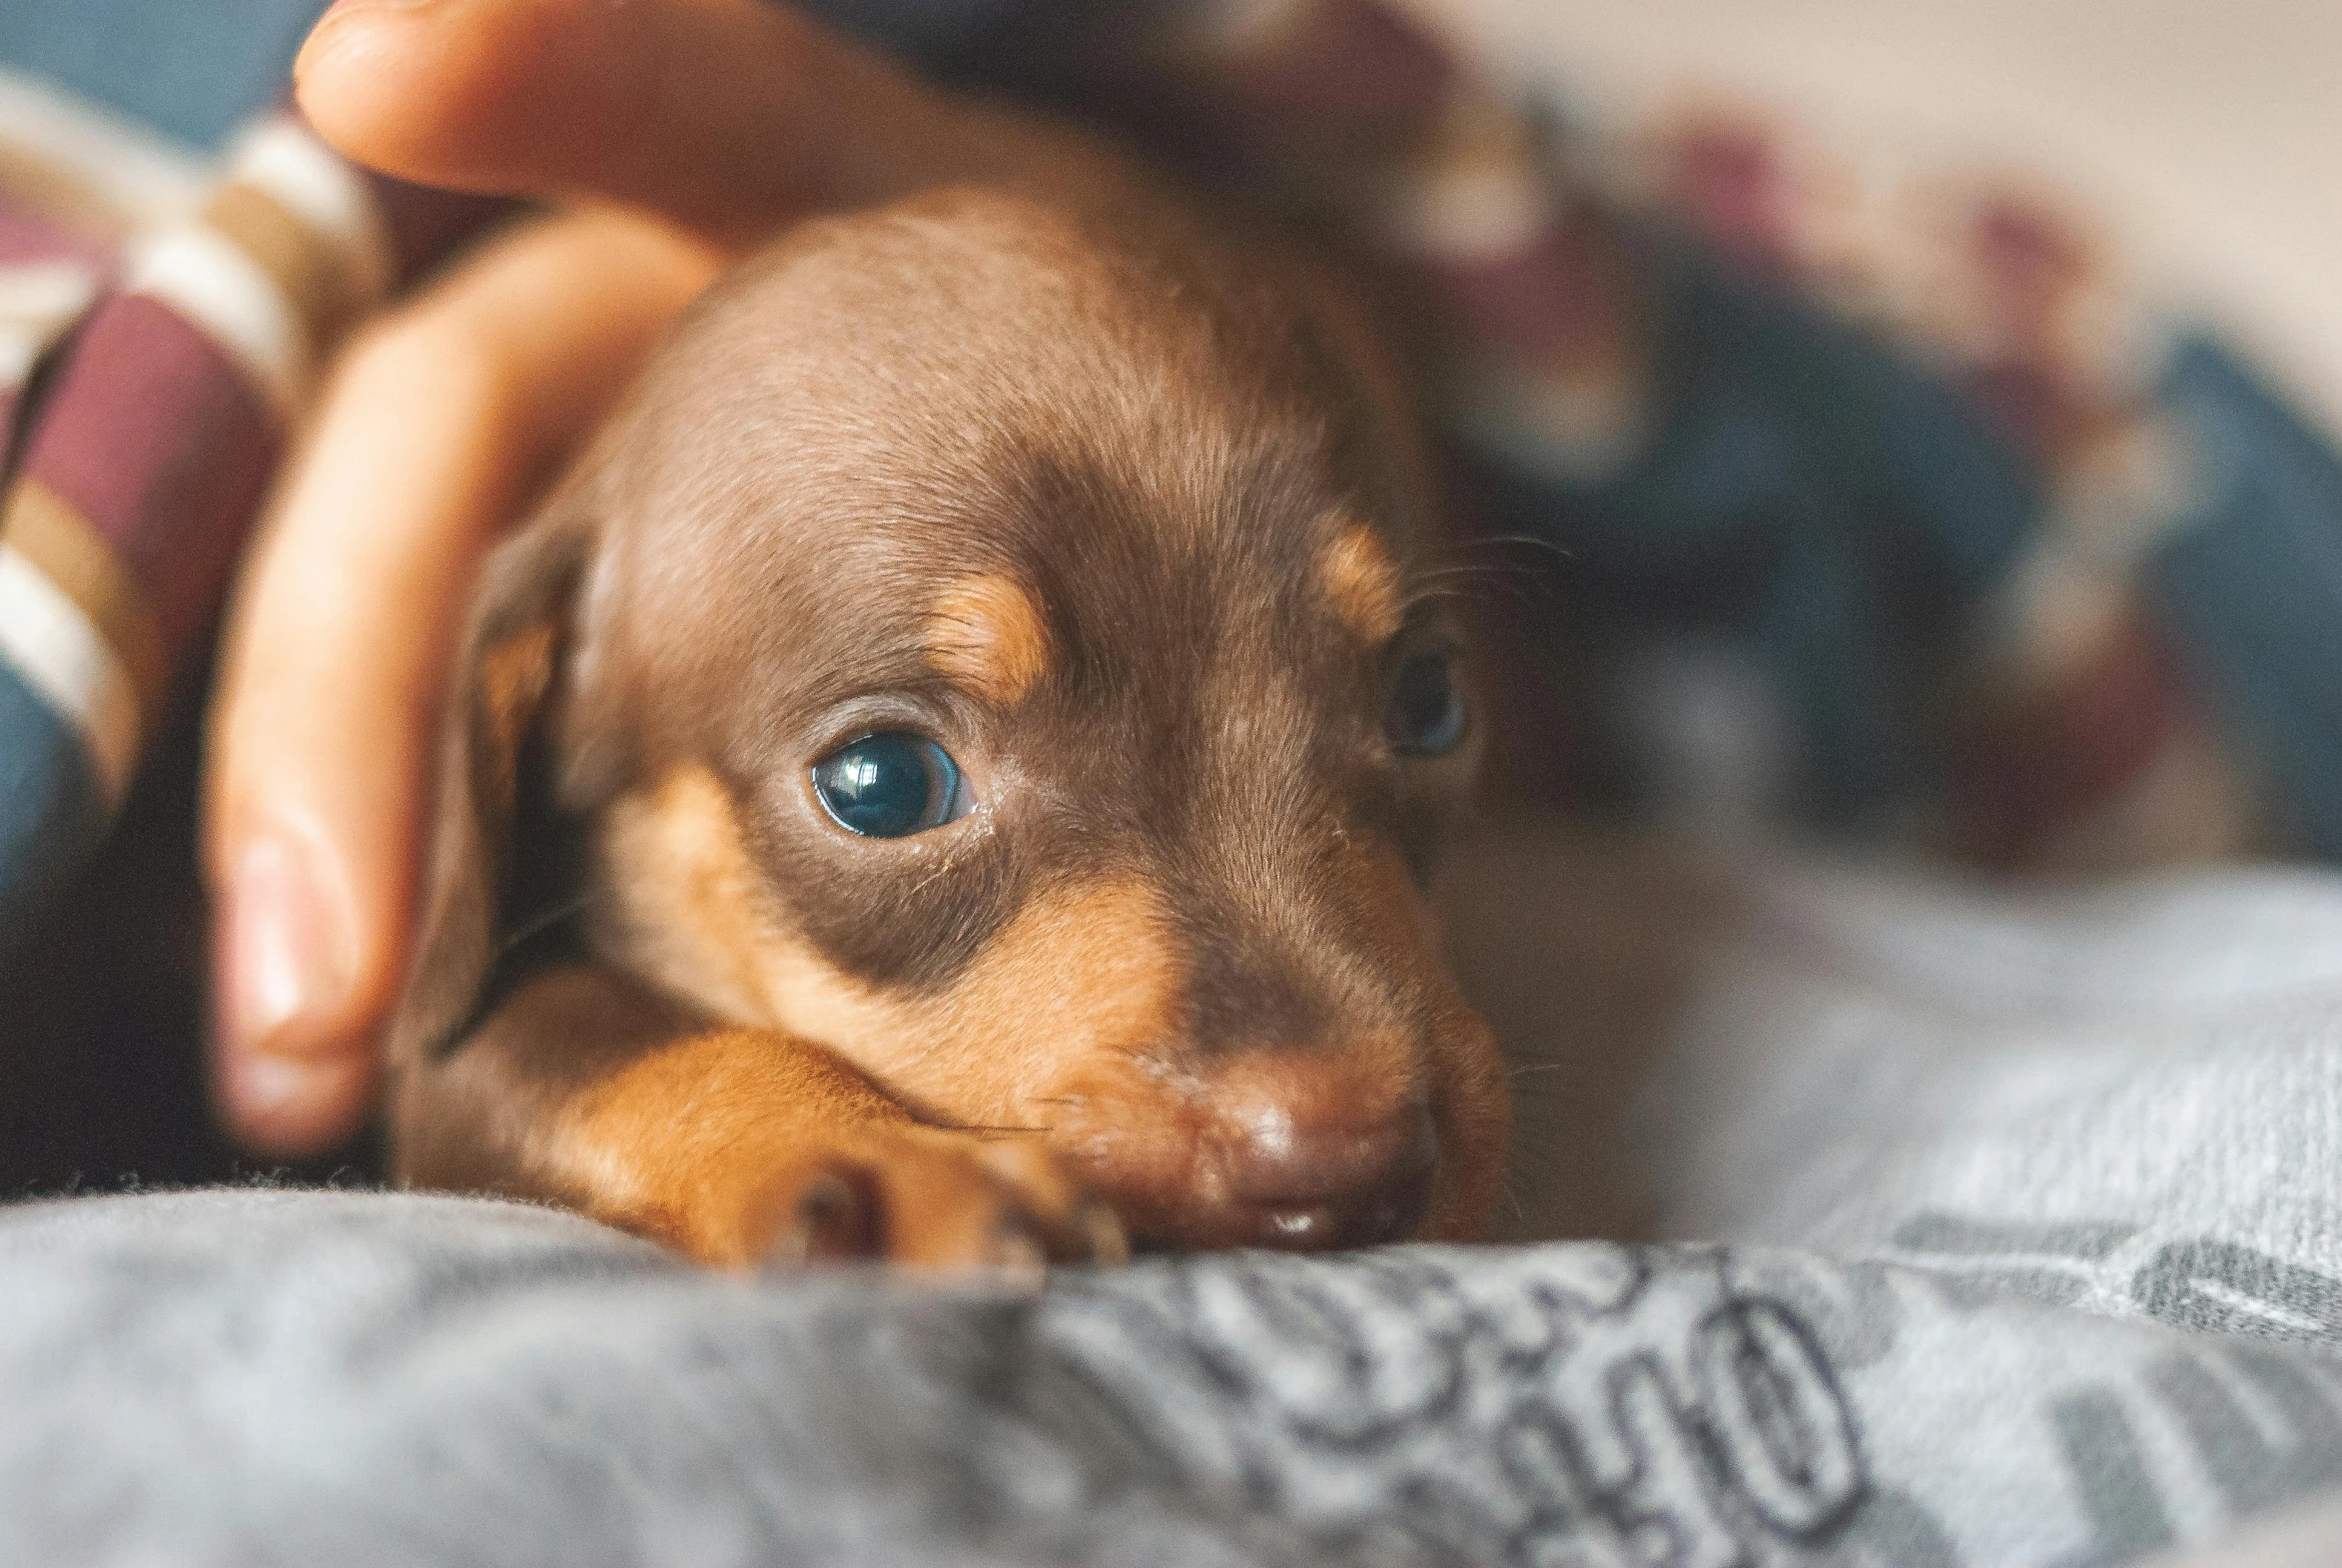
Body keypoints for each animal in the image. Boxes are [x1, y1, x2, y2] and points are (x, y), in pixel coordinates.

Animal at [390, 162, 1508, 1263]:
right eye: (881, 784)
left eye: (1428, 702)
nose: (1346, 1164)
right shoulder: (442, 1058)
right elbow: (620, 1047)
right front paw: (875, 1156)